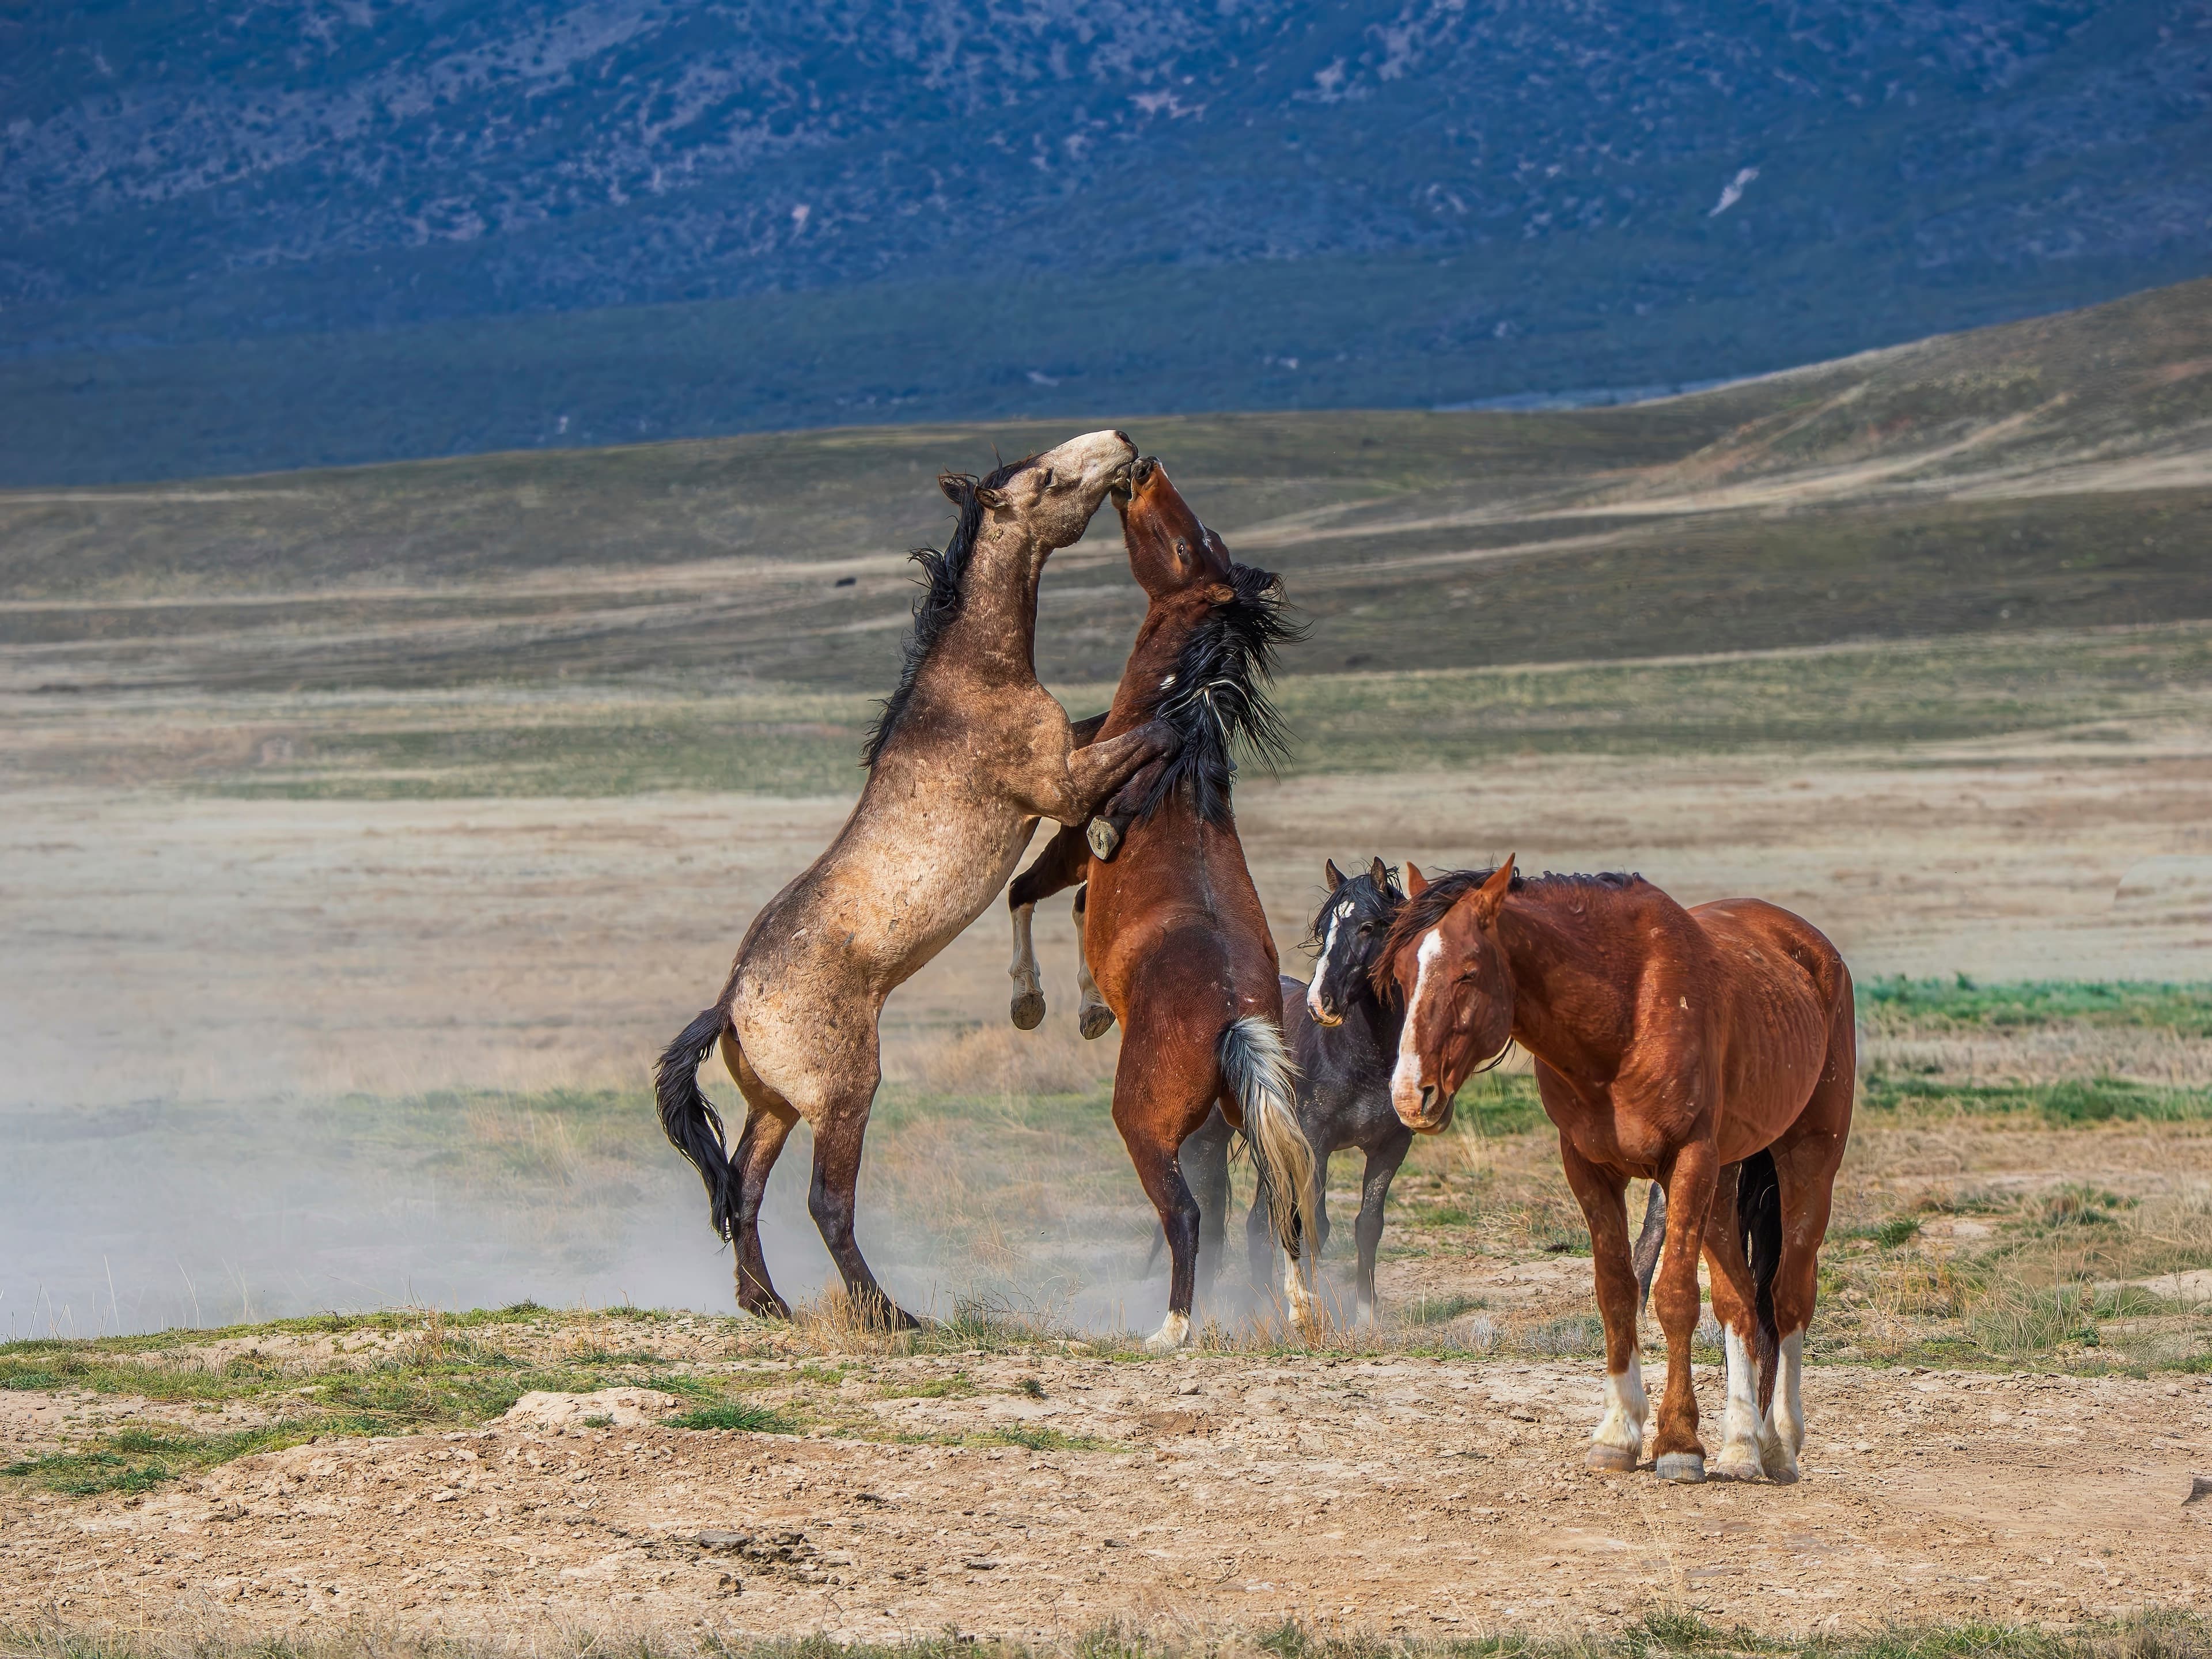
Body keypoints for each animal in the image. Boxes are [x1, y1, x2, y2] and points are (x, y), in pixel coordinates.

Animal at [654, 431, 1182, 1329]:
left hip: (775, 1106)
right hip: (844, 1097)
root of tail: (729, 1003)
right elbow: (1147, 733)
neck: (974, 679)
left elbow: (1112, 729)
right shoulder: (1057, 784)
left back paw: (768, 1304)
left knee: (744, 1192)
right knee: (825, 1203)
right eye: (1048, 478)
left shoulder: (1067, 755)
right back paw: (888, 1314)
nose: (1121, 445)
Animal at [1003, 457, 1315, 1349]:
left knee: (1186, 1215)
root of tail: (1234, 1022)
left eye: (1185, 544)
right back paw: (1301, 1312)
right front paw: (1086, 1008)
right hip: (1248, 1119)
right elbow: (1070, 913)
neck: (1175, 744)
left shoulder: (1075, 840)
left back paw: (1171, 1328)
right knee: (1282, 1208)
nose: (1143, 467)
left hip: (1147, 1128)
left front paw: (1036, 1002)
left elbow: (1024, 894)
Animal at [1378, 859, 1854, 1484]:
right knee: (1741, 1303)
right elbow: (1617, 1290)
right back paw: (1741, 1446)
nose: (1411, 1096)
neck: (1623, 1016)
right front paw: (1618, 1433)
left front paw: (1678, 1444)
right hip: (1725, 1179)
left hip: (1808, 1161)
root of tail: (1812, 949)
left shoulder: (1687, 1161)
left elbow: (1674, 1297)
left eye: (1468, 973)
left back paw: (1779, 1444)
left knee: (1788, 1295)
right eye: (1401, 975)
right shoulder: (1588, 1168)